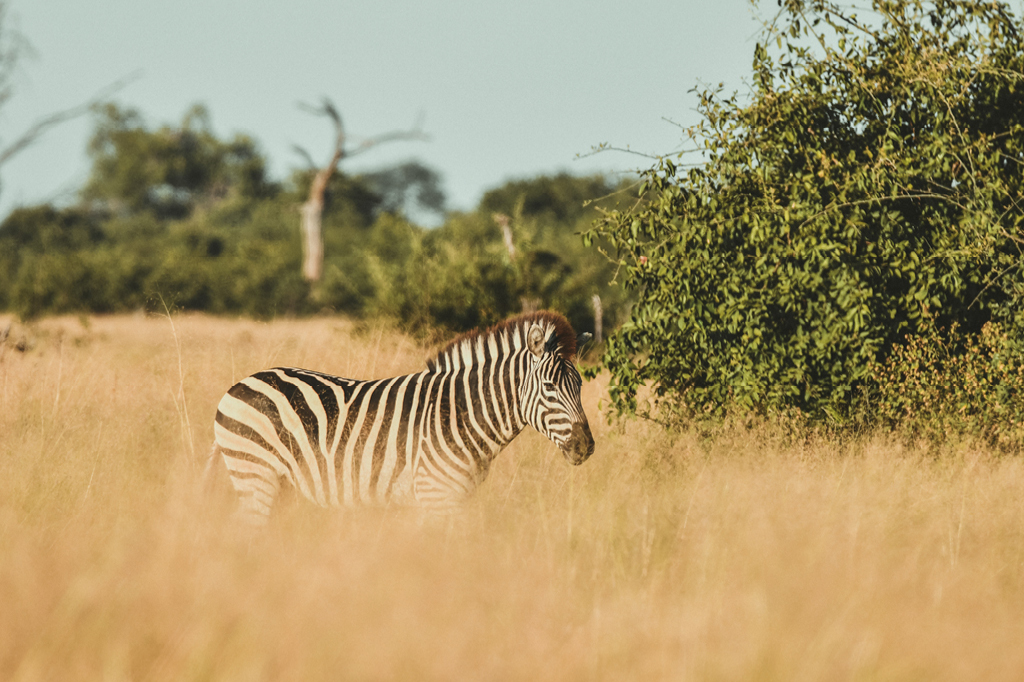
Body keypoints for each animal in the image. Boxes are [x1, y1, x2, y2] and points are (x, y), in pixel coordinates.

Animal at [210, 311, 595, 525]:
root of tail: (239, 383)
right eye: (549, 386)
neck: (462, 415)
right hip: (256, 475)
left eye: (579, 386)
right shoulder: (436, 498)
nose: (586, 447)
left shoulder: (455, 499)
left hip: (279, 485)